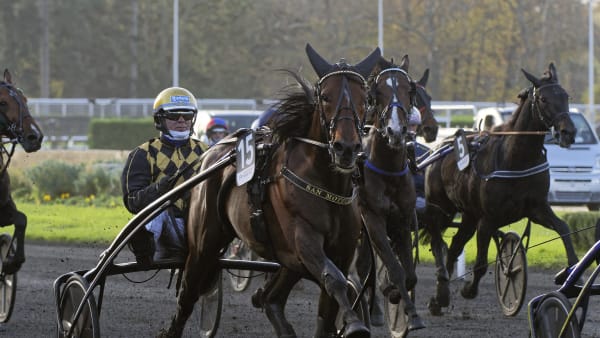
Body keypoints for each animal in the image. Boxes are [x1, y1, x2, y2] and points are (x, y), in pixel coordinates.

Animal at [161, 43, 380, 336]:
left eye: (365, 98)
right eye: (325, 96)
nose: (346, 148)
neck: (326, 185)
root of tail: (213, 153)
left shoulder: (340, 251)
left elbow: (330, 304)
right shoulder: (303, 239)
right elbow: (334, 279)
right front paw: (355, 323)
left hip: (286, 260)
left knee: (269, 298)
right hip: (204, 245)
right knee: (188, 295)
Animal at [422, 62, 580, 314]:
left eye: (566, 96)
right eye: (543, 99)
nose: (568, 132)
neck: (517, 158)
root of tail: (438, 148)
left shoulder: (537, 208)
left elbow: (564, 228)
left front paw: (572, 272)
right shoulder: (488, 219)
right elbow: (480, 263)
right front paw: (469, 289)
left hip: (468, 214)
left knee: (455, 245)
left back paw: (441, 296)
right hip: (441, 209)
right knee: (439, 242)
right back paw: (440, 294)